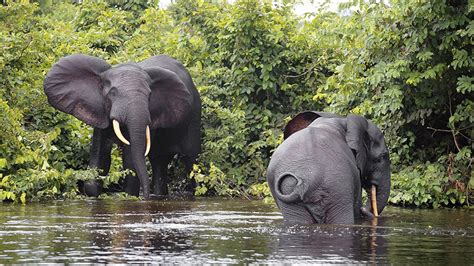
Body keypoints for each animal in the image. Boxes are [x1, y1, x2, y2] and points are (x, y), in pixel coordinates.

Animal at [43, 54, 201, 200]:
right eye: (113, 93)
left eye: (150, 95)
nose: (145, 198)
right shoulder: (101, 112)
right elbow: (100, 155)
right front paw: (93, 195)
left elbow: (130, 159)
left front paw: (129, 197)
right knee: (159, 162)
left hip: (194, 119)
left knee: (191, 162)